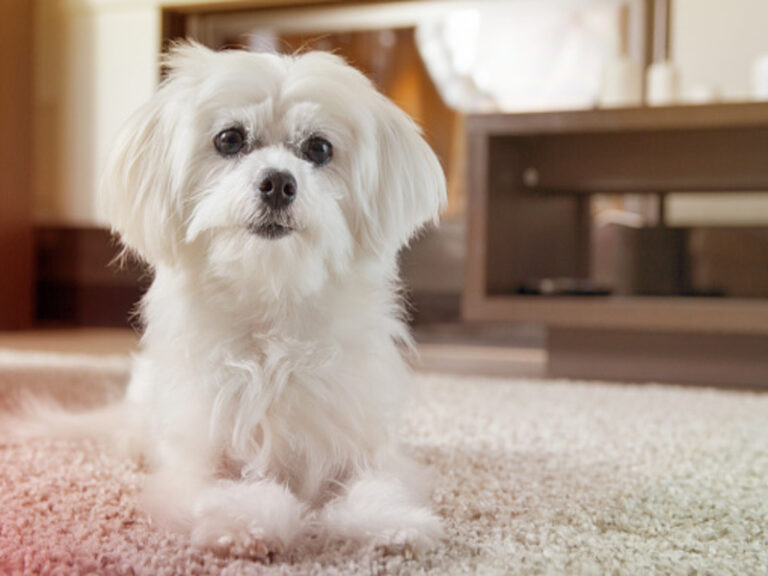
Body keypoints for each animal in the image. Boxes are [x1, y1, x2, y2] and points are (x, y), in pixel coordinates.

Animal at [97, 41, 448, 560]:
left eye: (318, 148)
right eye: (229, 139)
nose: (279, 182)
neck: (272, 299)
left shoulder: (364, 441)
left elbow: (376, 482)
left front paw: (390, 521)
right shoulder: (194, 463)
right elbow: (225, 487)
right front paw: (246, 520)